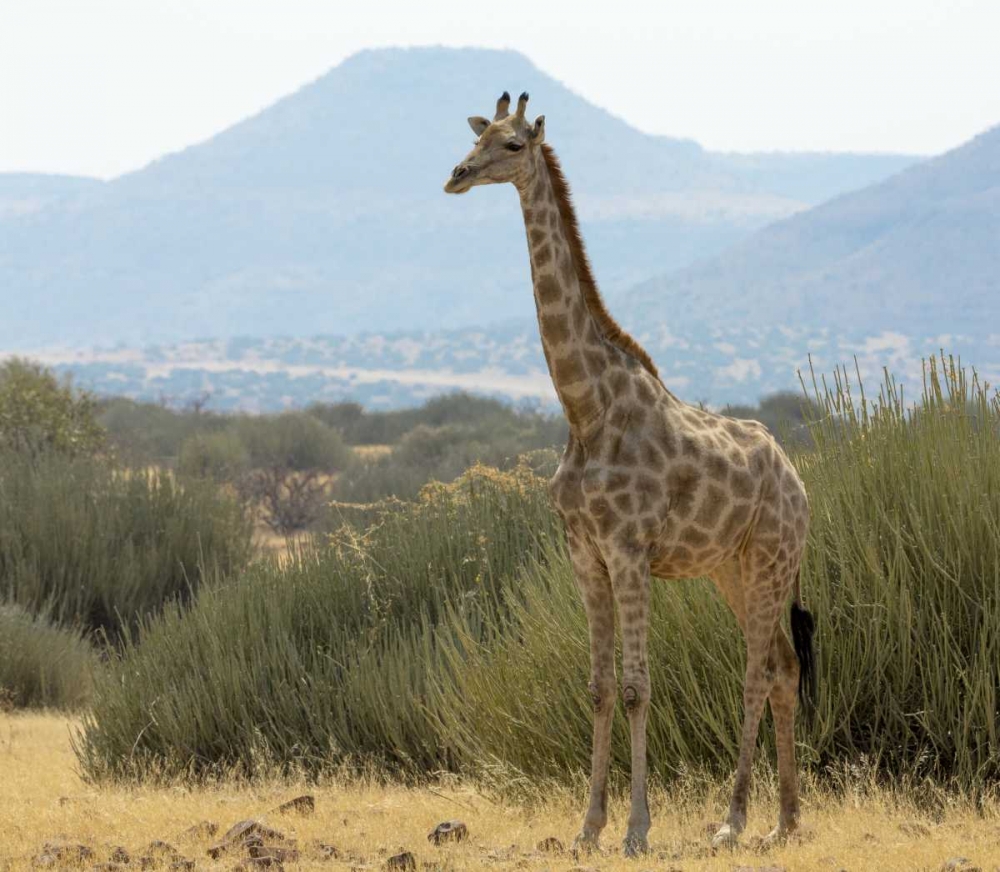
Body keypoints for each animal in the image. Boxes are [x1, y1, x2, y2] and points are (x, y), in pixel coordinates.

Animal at [444, 91, 817, 856]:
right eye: (477, 135)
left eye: (514, 144)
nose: (456, 175)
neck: (586, 408)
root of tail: (798, 481)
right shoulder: (584, 553)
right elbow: (597, 686)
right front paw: (587, 827)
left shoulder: (630, 550)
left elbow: (640, 686)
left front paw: (637, 830)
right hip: (732, 570)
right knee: (785, 668)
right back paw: (786, 820)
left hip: (771, 559)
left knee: (758, 671)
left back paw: (734, 819)